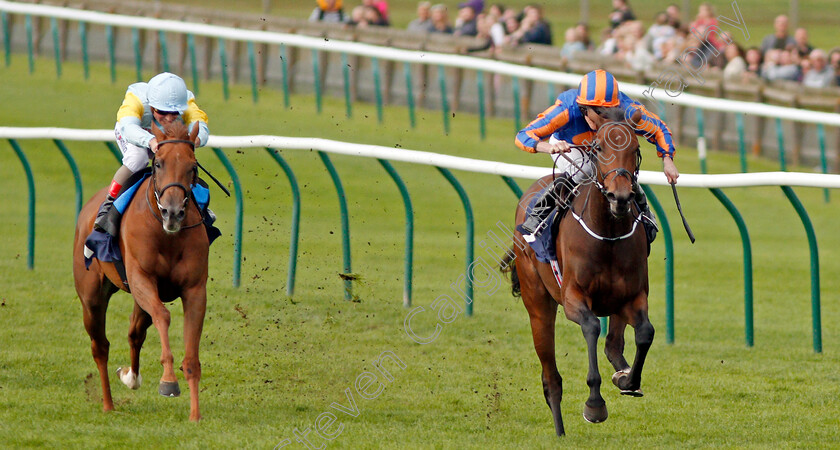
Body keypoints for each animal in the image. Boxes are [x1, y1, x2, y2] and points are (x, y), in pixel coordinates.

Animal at [74, 120, 210, 422]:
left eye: (192, 166)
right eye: (158, 163)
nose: (173, 212)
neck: (167, 235)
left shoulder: (194, 290)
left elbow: (192, 356)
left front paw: (195, 415)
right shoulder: (141, 279)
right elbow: (163, 316)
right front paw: (168, 381)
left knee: (135, 332)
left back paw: (131, 377)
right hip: (92, 297)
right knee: (100, 346)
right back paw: (108, 404)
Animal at [502, 110, 652, 436]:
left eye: (635, 149)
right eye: (599, 148)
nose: (621, 197)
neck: (608, 234)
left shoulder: (633, 296)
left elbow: (645, 333)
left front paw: (627, 379)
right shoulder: (573, 298)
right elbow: (592, 326)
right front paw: (594, 405)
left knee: (614, 343)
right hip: (538, 303)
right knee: (550, 378)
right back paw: (559, 432)